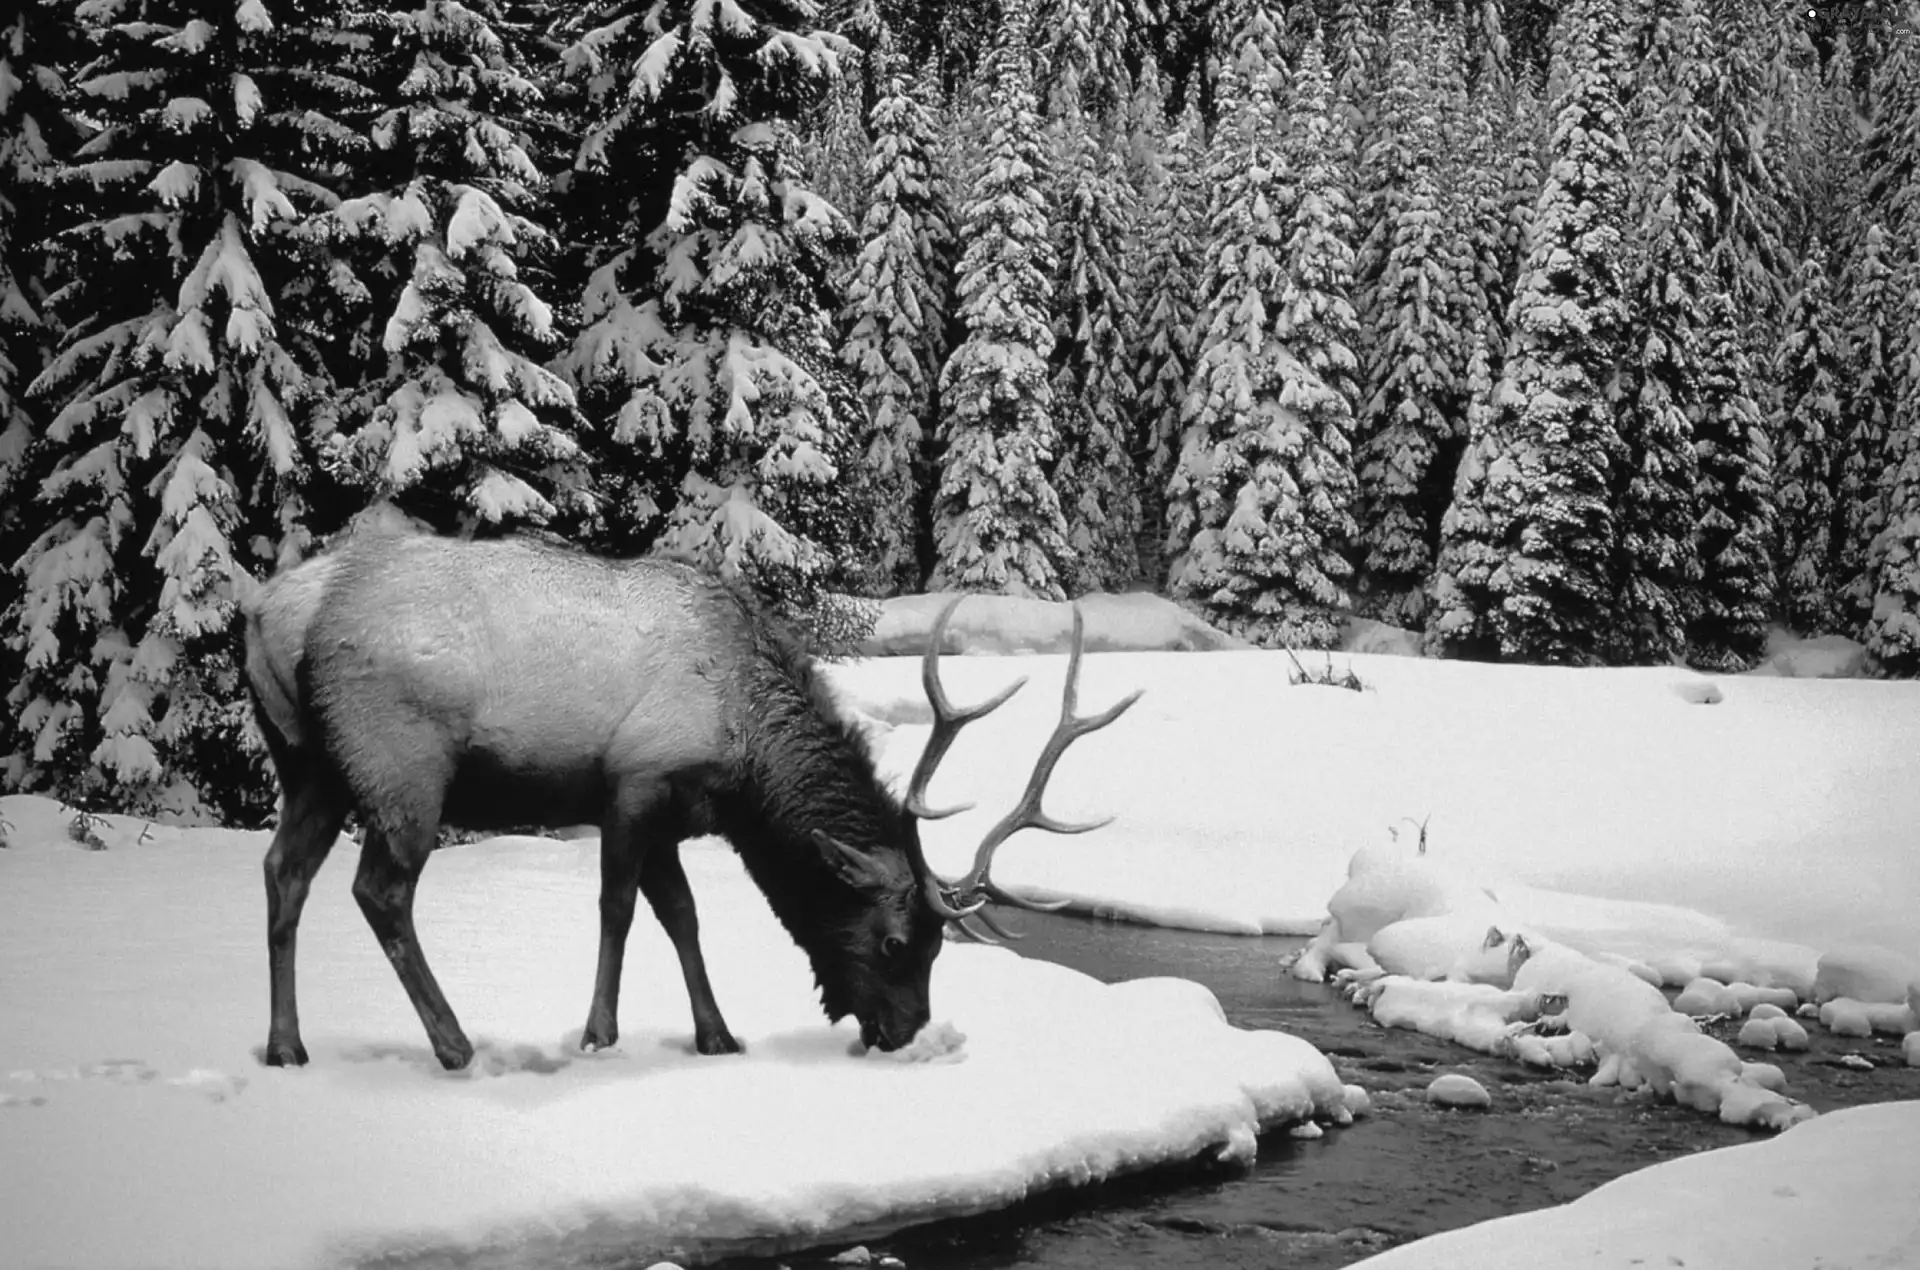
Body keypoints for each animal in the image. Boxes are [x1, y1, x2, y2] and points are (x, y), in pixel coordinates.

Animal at [240, 526, 1136, 1068]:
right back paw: (454, 1043)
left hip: (310, 765)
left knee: (284, 872)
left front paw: (718, 1034)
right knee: (378, 892)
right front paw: (599, 1033)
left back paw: (286, 1044)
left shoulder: (677, 814)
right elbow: (619, 908)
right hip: (402, 762)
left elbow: (682, 916)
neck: (745, 757)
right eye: (894, 943)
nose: (905, 1032)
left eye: (941, 947)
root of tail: (271, 615)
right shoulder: (635, 778)